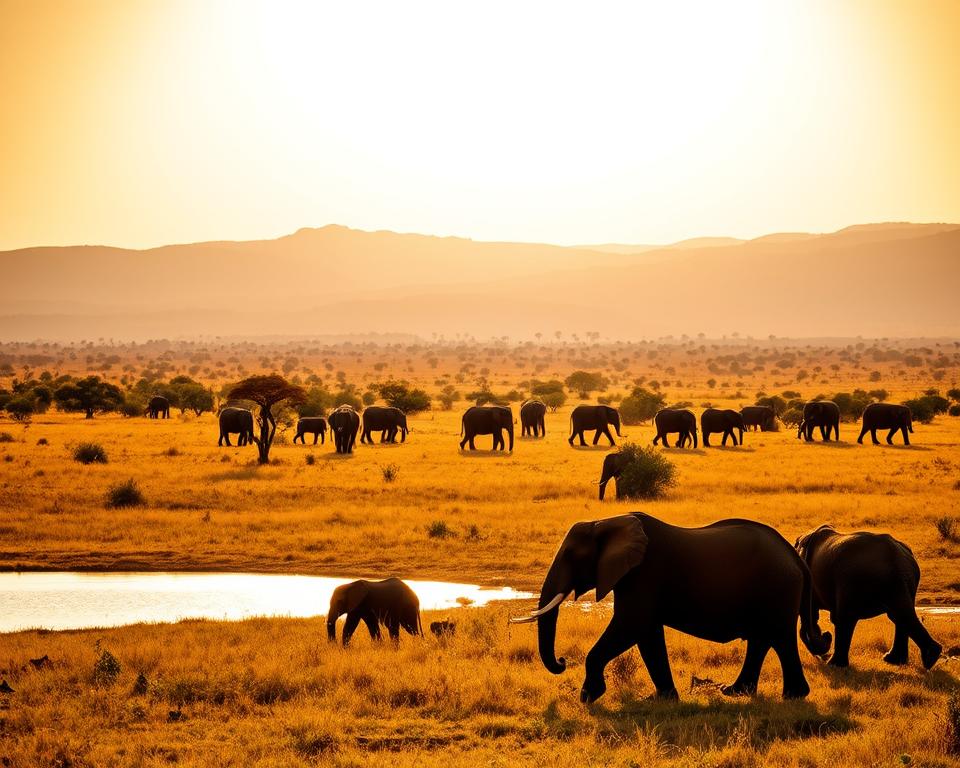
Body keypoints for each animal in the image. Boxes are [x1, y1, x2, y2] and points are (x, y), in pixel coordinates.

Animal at [511, 513, 830, 703]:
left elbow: (631, 625)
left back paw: (793, 697)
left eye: (572, 555)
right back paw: (735, 692)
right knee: (762, 639)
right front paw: (663, 700)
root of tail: (795, 556)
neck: (605, 523)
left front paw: (589, 697)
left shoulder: (643, 573)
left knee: (780, 638)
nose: (562, 661)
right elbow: (647, 634)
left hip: (778, 588)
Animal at [795, 525, 941, 669]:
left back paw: (834, 664)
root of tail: (898, 559)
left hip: (852, 580)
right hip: (904, 581)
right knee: (899, 614)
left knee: (846, 617)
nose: (826, 636)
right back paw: (917, 659)